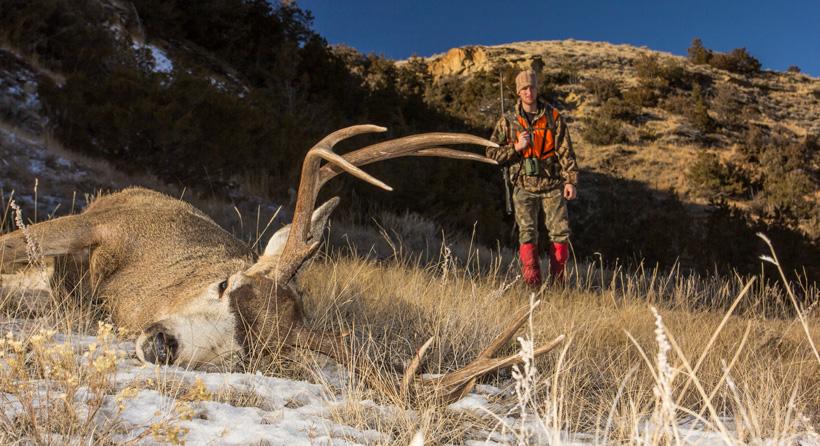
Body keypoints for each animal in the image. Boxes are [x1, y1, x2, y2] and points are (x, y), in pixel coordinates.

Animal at [0, 125, 564, 402]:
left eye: (250, 351)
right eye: (224, 283)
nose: (163, 342)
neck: (127, 292)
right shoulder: (103, 223)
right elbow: (10, 246)